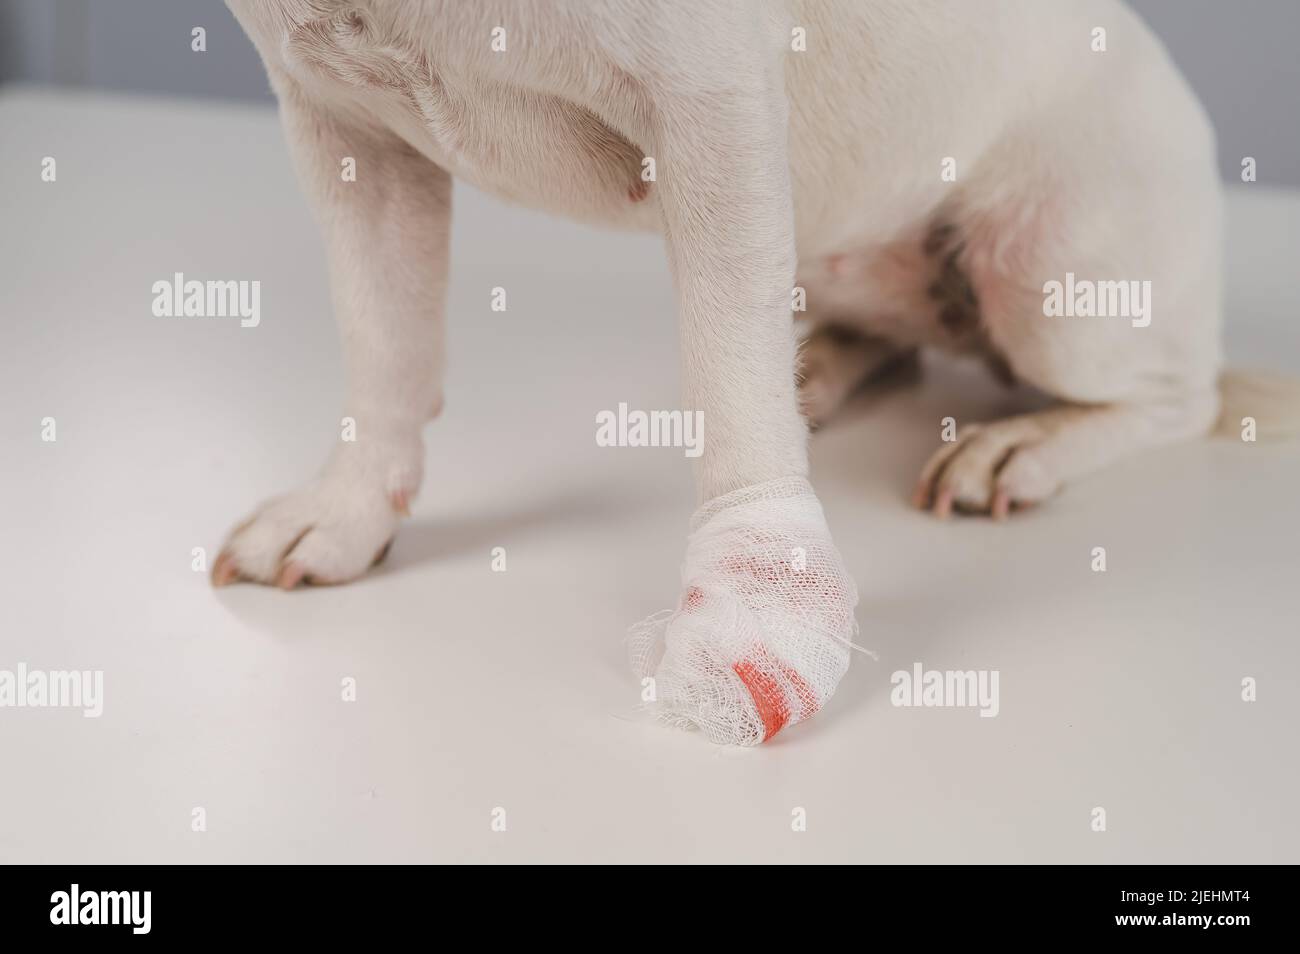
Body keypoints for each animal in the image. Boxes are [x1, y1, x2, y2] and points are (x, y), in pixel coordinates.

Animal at [218, 0, 1284, 748]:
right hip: (838, 236)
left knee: (1171, 398)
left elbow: (728, 382)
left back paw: (1020, 445)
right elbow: (384, 340)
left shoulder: (709, 108)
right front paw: (347, 511)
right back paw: (819, 373)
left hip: (1049, 275)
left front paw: (755, 617)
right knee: (875, 338)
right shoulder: (345, 129)